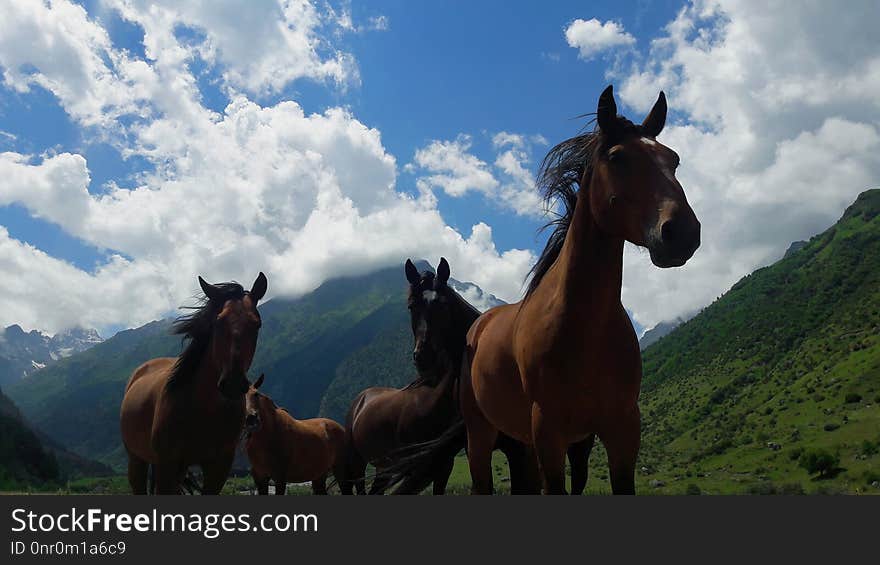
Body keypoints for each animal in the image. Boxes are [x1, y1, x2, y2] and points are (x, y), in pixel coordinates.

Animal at [119, 270, 268, 492]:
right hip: (137, 460)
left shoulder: (219, 468)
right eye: (218, 321)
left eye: (257, 324)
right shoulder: (167, 466)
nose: (232, 383)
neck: (202, 409)